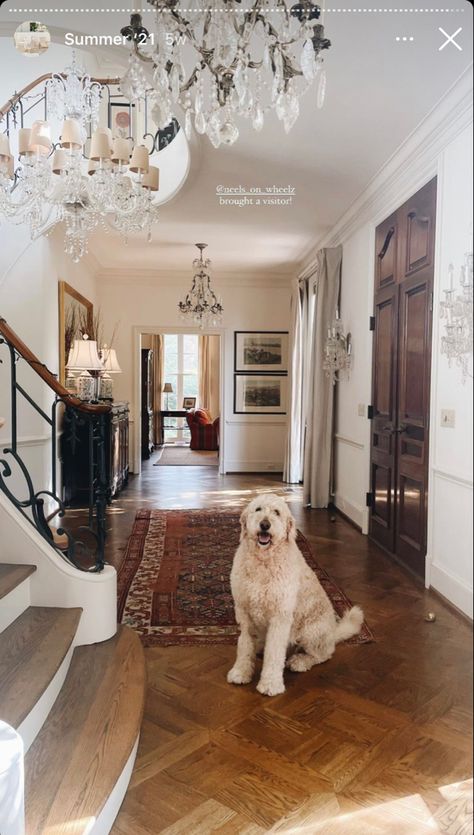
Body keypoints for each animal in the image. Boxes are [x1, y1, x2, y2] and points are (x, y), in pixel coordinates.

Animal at [228, 494, 364, 696]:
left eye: (277, 512)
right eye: (258, 509)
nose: (265, 524)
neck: (263, 561)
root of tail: (333, 633)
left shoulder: (280, 617)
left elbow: (274, 652)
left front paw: (270, 684)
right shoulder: (244, 612)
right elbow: (244, 645)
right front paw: (241, 671)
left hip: (311, 632)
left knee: (323, 654)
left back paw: (300, 661)